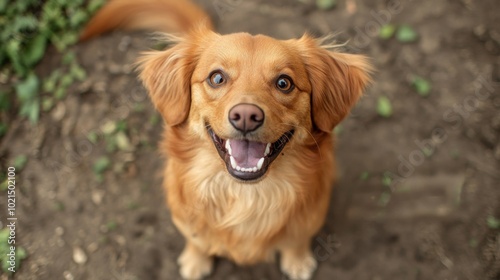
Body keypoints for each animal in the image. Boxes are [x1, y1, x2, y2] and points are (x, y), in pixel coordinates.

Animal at [82, 1, 372, 278]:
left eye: (284, 83)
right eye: (217, 77)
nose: (246, 116)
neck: (246, 195)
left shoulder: (309, 218)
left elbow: (296, 240)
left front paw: (297, 261)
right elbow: (196, 240)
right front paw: (195, 260)